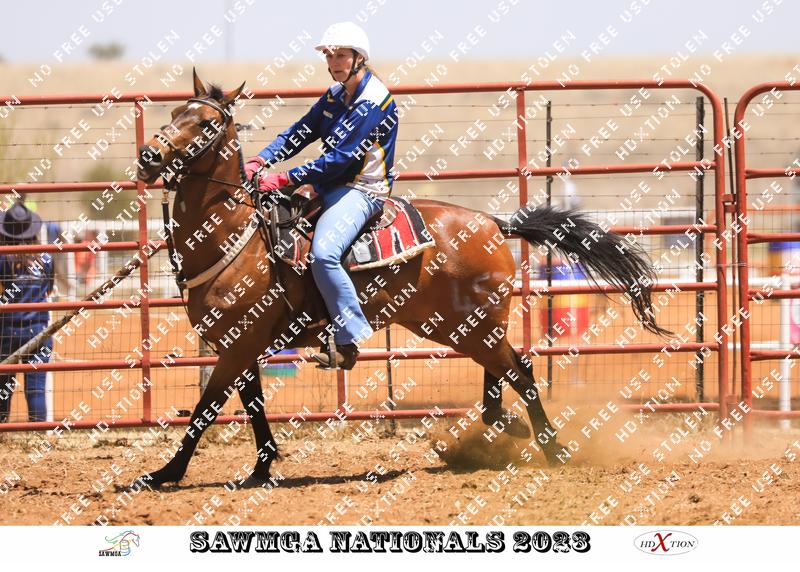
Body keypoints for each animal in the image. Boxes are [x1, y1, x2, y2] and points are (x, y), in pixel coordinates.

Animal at [133, 70, 669, 487]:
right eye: (175, 111)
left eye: (205, 123)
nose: (149, 157)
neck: (237, 238)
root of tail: (494, 223)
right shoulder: (237, 345)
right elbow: (253, 407)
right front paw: (261, 470)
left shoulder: (240, 345)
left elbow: (205, 411)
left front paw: (164, 474)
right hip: (456, 325)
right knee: (502, 371)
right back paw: (505, 428)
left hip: (471, 323)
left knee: (520, 370)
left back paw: (552, 448)